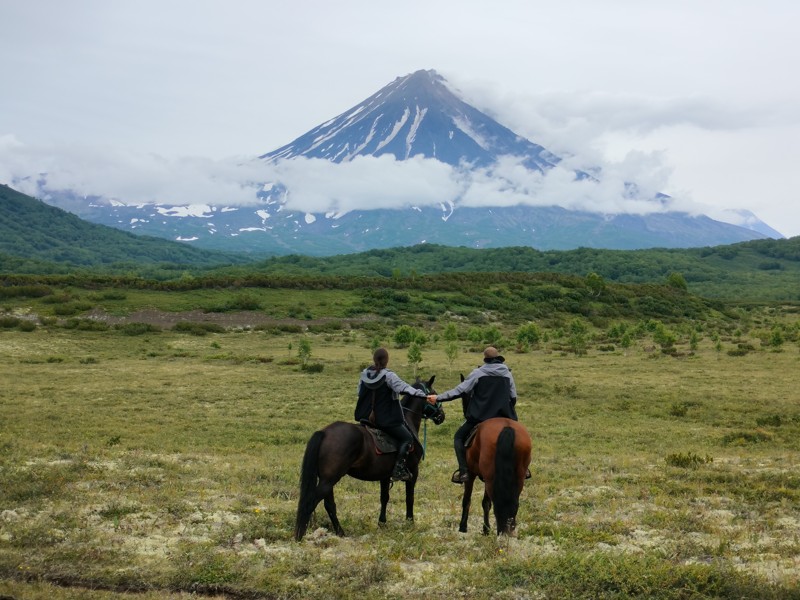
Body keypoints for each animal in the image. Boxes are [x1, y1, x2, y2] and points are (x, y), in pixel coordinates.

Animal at [296, 376, 444, 540]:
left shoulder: (385, 476)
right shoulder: (413, 472)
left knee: (329, 505)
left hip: (327, 480)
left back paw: (340, 532)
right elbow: (409, 498)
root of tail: (324, 432)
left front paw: (382, 523)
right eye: (434, 393)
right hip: (329, 479)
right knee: (311, 503)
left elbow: (384, 497)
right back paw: (300, 536)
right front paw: (410, 523)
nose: (441, 416)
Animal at [456, 376, 532, 536]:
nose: (466, 413)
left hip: (490, 476)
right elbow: (486, 502)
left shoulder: (471, 475)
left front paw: (463, 527)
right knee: (512, 502)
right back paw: (509, 530)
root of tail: (506, 427)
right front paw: (486, 529)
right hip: (517, 477)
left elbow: (467, 500)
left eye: (465, 396)